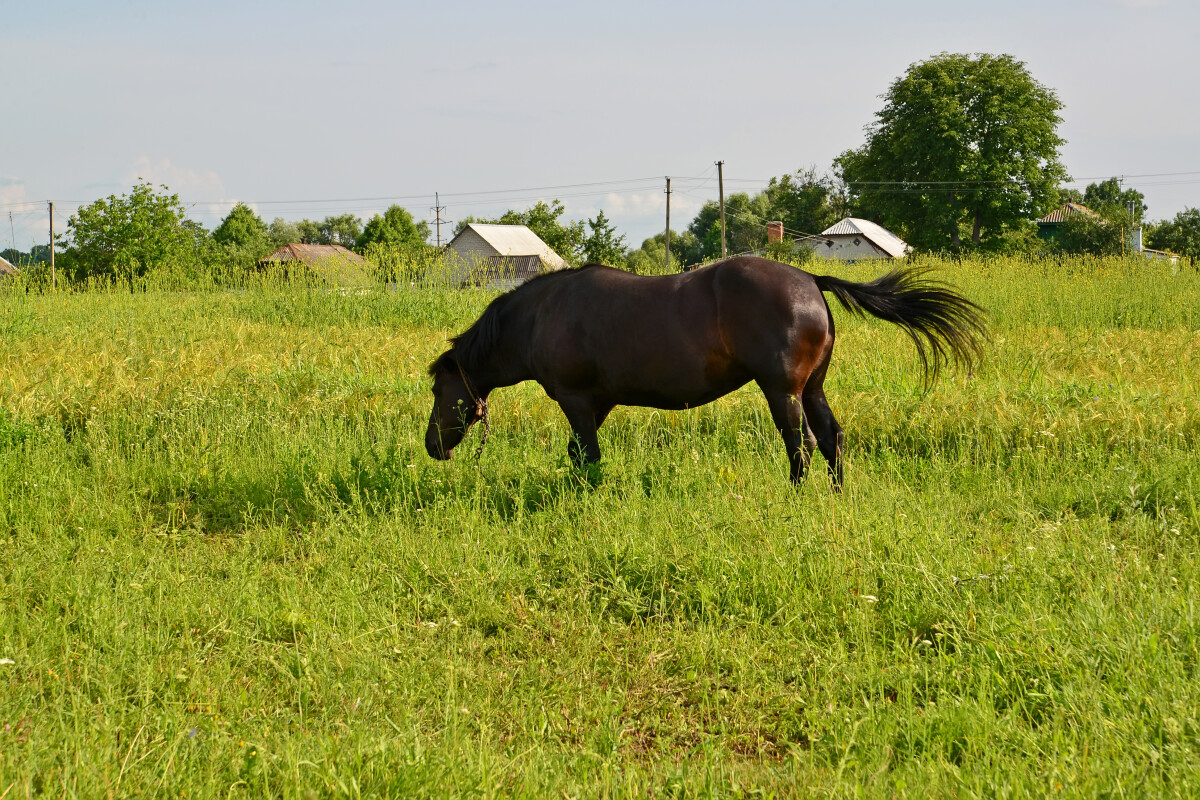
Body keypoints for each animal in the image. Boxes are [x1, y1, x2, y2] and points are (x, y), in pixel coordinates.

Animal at [424, 256, 984, 489]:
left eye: (437, 387)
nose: (432, 446)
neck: (543, 314)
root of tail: (809, 278)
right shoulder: (598, 402)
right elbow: (579, 454)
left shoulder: (577, 400)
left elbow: (586, 456)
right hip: (813, 387)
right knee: (831, 438)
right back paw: (837, 494)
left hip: (783, 390)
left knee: (799, 442)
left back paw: (796, 497)